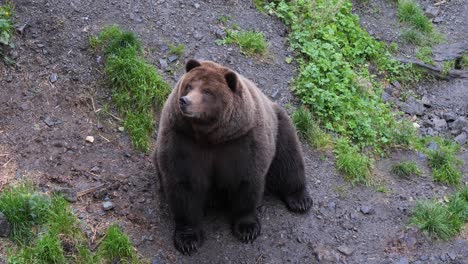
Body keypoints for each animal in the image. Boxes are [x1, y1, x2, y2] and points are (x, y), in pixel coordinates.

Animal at [155, 59, 312, 254]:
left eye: (207, 91)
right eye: (189, 86)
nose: (184, 101)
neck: (211, 137)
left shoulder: (244, 142)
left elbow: (246, 182)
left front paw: (247, 228)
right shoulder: (182, 139)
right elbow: (185, 185)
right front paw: (188, 239)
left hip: (279, 126)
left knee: (288, 159)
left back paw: (300, 200)